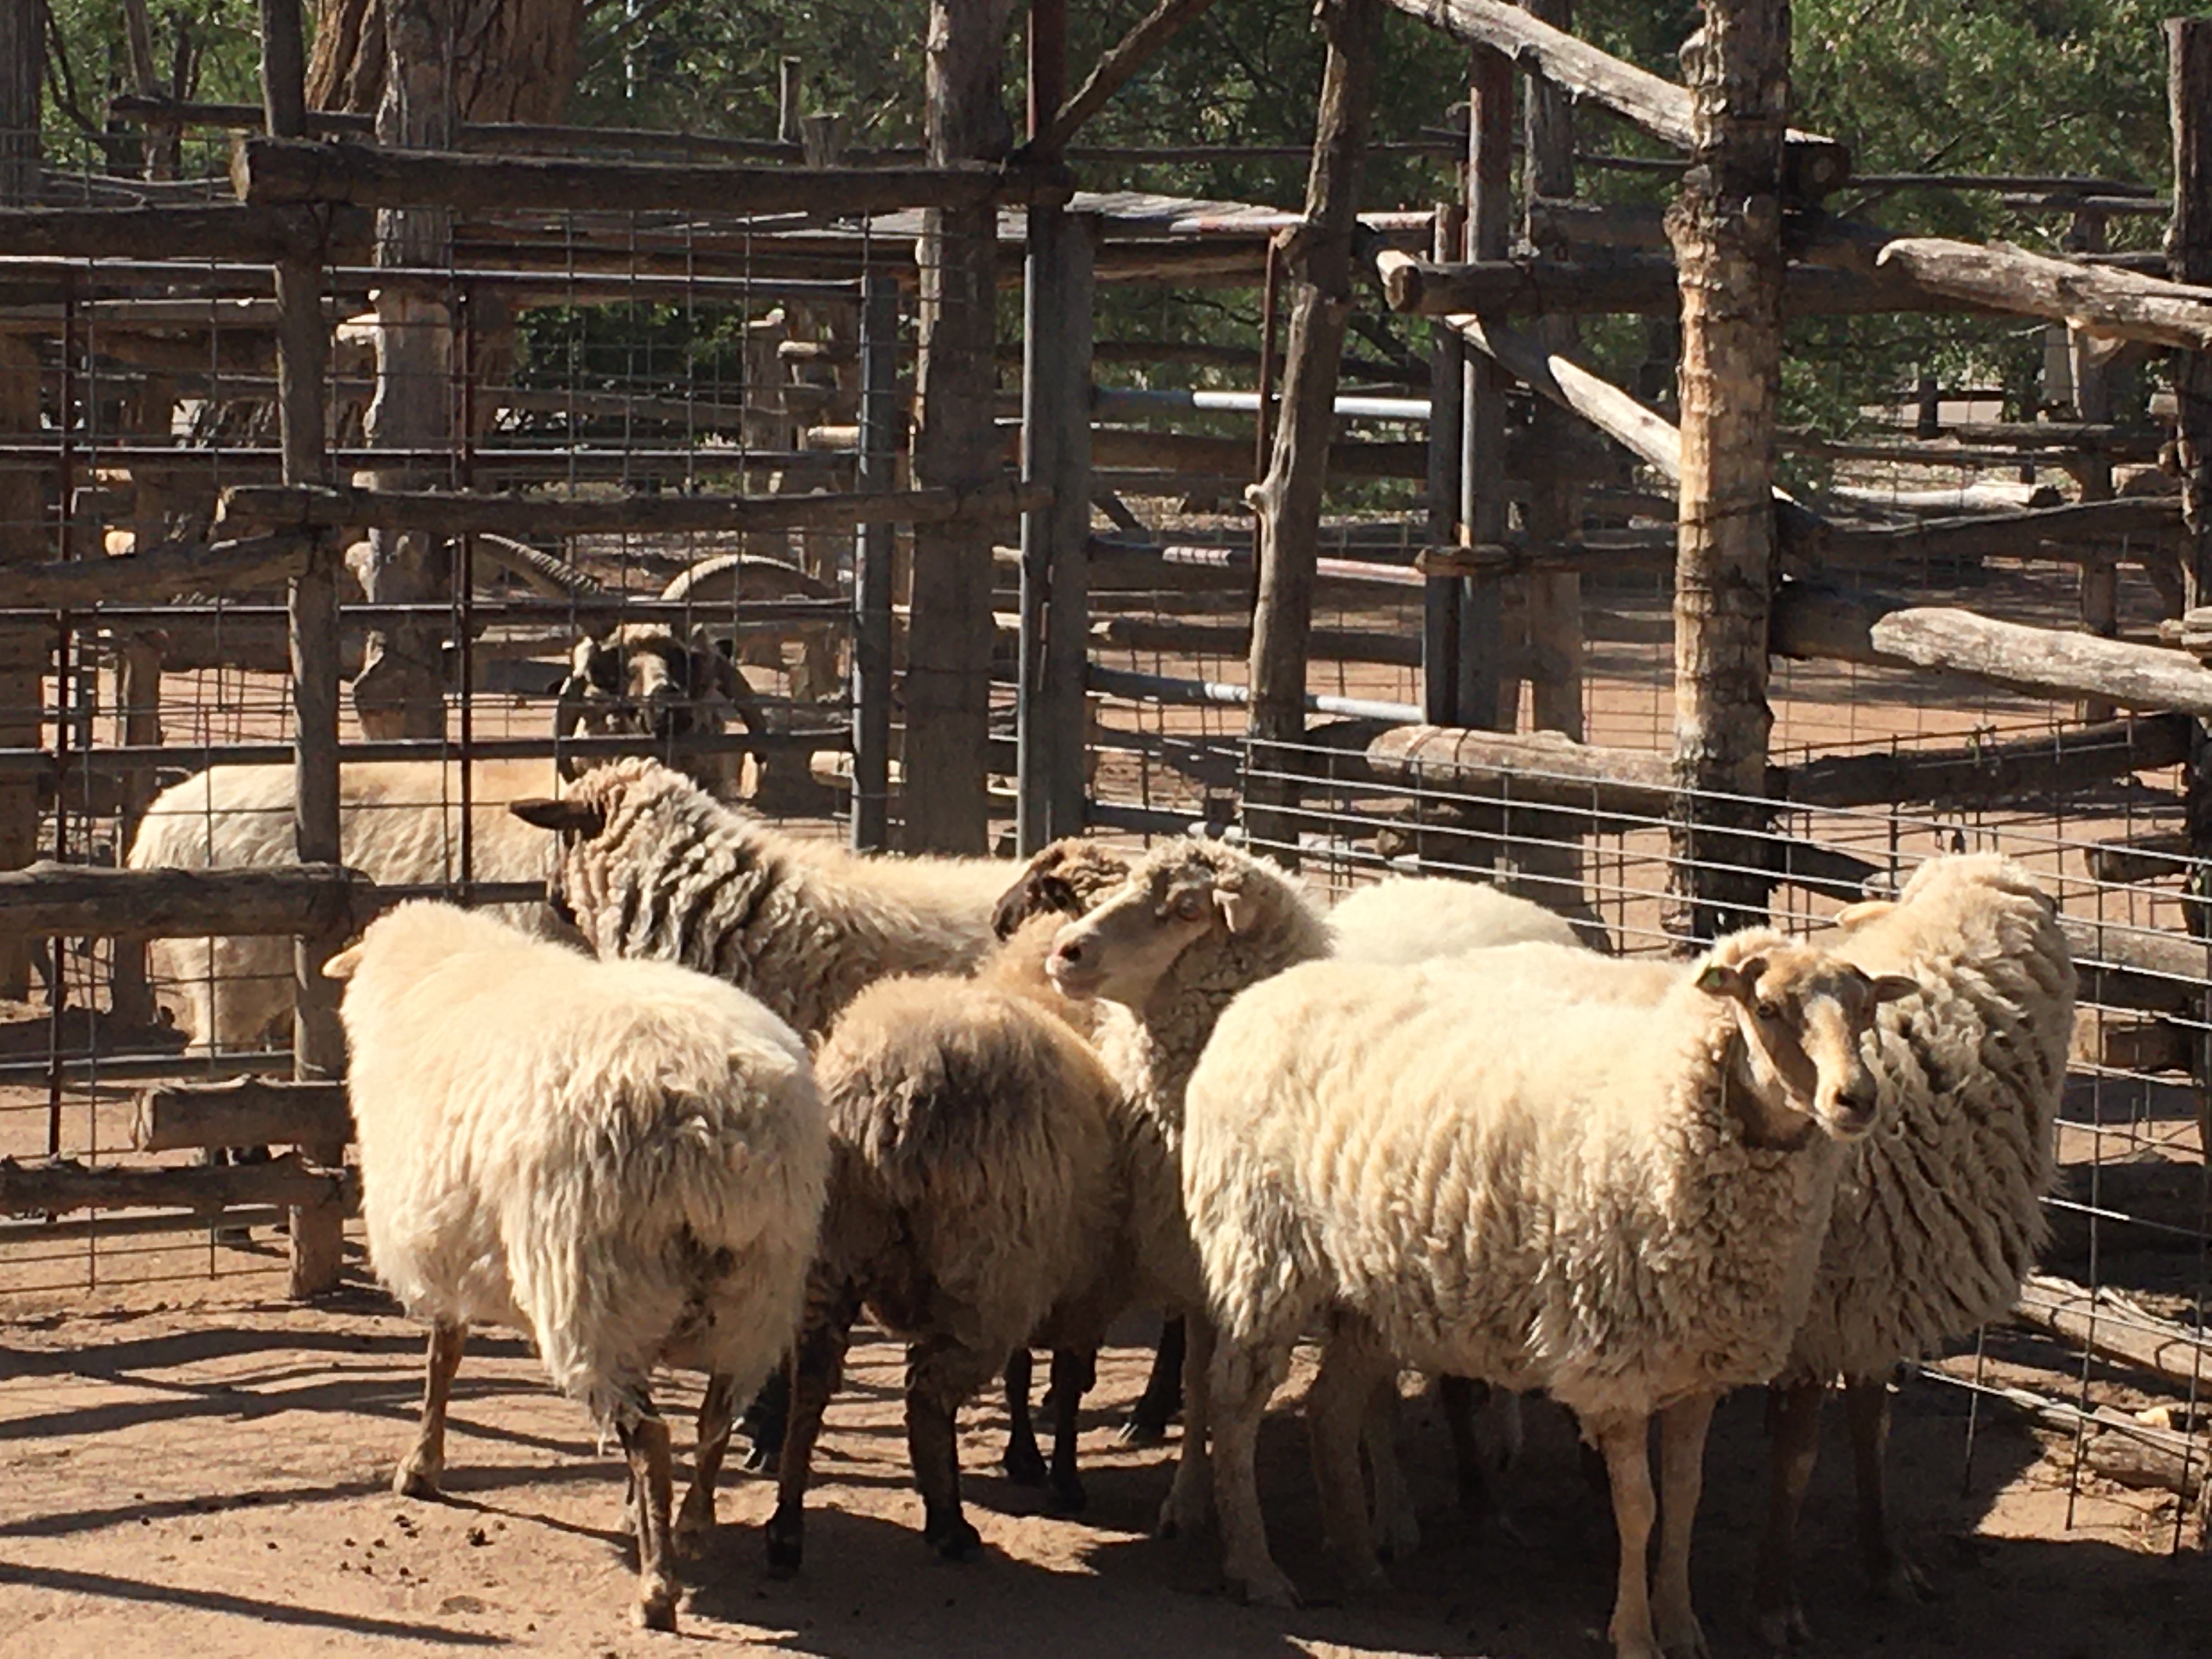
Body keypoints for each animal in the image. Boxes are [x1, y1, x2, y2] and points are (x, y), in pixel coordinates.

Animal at [331, 902, 832, 1628]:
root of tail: (722, 1131)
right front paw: (638, 1514)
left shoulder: (445, 1251)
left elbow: (440, 1362)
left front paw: (421, 1467)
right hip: (757, 1290)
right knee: (713, 1417)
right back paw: (690, 1523)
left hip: (595, 1284)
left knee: (650, 1436)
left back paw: (657, 1589)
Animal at [770, 911, 1132, 1575]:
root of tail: (886, 1088)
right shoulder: (1080, 1287)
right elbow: (1065, 1384)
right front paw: (1063, 1478)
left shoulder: (1042, 1274)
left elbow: (1025, 1372)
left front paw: (1026, 1457)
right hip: (981, 1276)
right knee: (927, 1400)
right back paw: (949, 1526)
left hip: (834, 1253)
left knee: (810, 1383)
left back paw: (785, 1529)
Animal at [1177, 929, 1920, 1654]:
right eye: (1765, 1009)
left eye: (1866, 1011)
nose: (1857, 1099)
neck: (1658, 1106)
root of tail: (1258, 999)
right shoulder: (1615, 1365)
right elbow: (1638, 1509)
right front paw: (1636, 1634)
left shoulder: (1699, 1363)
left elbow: (1685, 1497)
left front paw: (1683, 1625)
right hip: (1259, 1257)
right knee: (1236, 1407)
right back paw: (1257, 1568)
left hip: (1367, 1293)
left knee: (1328, 1408)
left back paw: (1361, 1564)